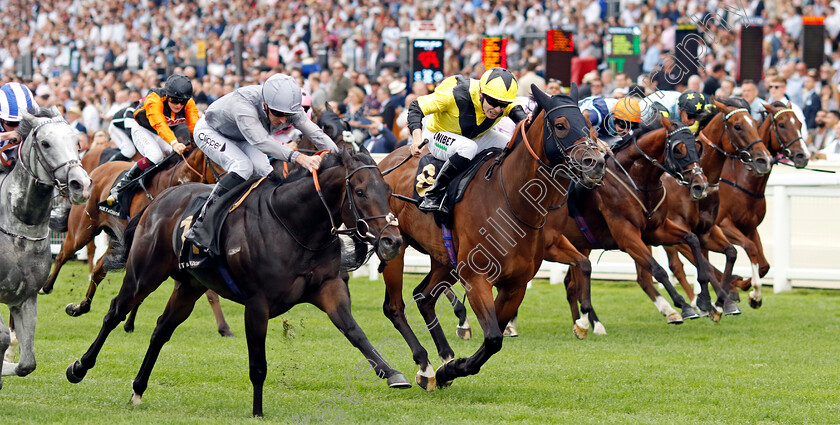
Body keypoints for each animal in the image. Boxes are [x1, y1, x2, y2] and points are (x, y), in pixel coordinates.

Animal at [0, 107, 90, 388]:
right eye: (46, 143)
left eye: (77, 142)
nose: (81, 185)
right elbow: (3, 337)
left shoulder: (25, 298)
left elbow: (26, 364)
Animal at [66, 147, 410, 416]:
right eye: (361, 192)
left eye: (387, 191)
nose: (392, 241)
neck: (295, 226)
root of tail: (159, 200)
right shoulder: (257, 304)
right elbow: (258, 363)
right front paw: (258, 412)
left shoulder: (329, 289)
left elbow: (355, 332)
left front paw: (393, 372)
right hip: (144, 274)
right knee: (114, 312)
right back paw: (80, 366)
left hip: (189, 286)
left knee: (162, 329)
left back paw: (138, 388)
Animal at [378, 83, 604, 390]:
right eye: (560, 125)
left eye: (591, 127)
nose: (596, 162)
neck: (511, 201)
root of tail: (384, 164)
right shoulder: (476, 278)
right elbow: (494, 337)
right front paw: (450, 369)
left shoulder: (516, 284)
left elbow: (494, 337)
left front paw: (450, 368)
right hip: (396, 248)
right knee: (395, 306)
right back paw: (425, 365)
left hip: (445, 259)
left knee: (424, 297)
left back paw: (444, 356)